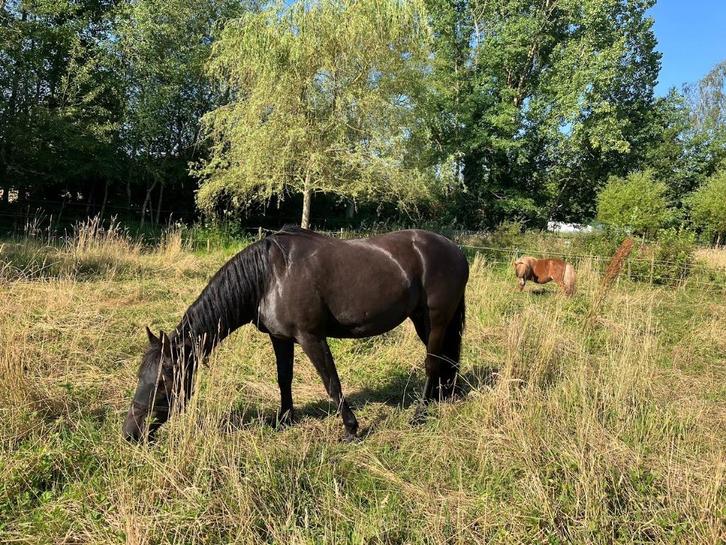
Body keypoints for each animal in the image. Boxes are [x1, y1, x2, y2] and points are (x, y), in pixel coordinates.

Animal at [123, 227, 469, 443]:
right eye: (141, 374)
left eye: (163, 381)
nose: (131, 433)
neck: (269, 276)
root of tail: (454, 249)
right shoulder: (281, 338)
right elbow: (284, 378)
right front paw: (285, 419)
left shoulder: (310, 337)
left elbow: (332, 383)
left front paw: (351, 429)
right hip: (422, 320)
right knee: (442, 360)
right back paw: (443, 397)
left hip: (437, 319)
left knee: (432, 363)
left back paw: (420, 413)